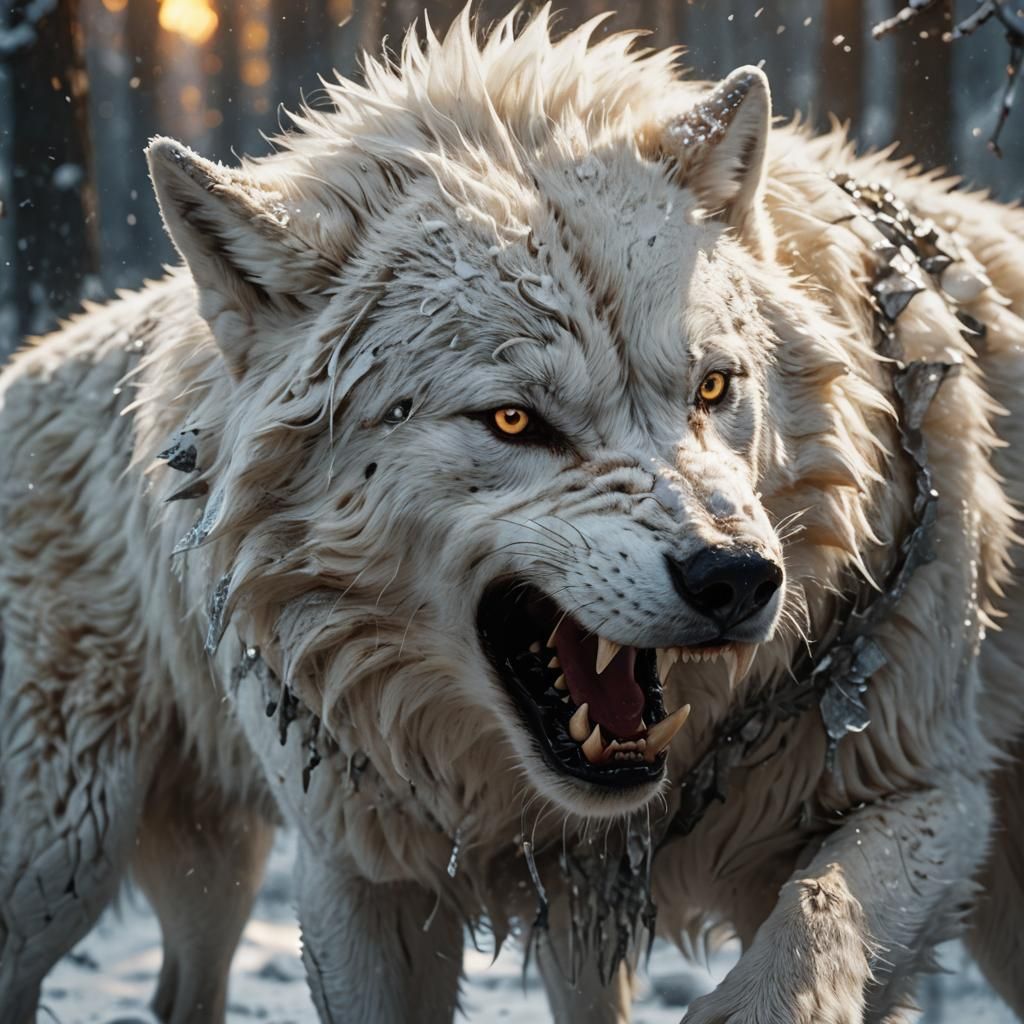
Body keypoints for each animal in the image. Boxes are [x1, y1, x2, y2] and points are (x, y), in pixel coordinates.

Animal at [1, 6, 1023, 1023]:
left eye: (713, 387)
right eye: (513, 420)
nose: (736, 578)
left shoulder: (933, 793)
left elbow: (811, 927)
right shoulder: (364, 880)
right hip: (62, 859)